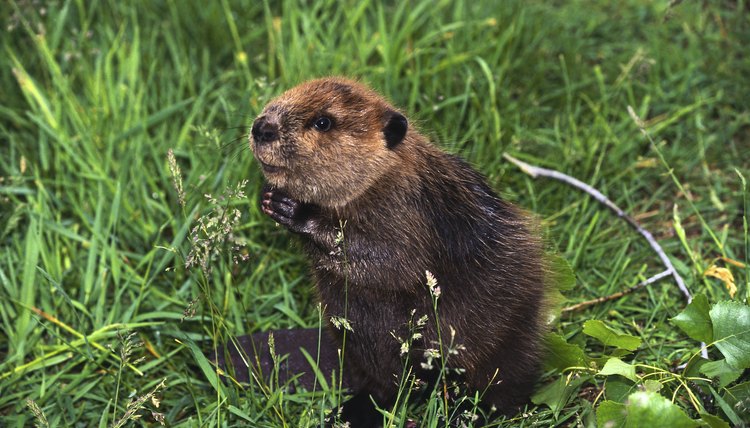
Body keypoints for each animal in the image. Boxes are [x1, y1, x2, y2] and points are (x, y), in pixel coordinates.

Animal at [248, 78, 548, 426]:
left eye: (323, 122)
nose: (262, 127)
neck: (382, 176)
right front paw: (269, 197)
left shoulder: (406, 209)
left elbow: (393, 261)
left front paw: (294, 210)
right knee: (380, 386)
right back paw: (347, 413)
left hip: (507, 342)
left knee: (502, 388)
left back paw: (464, 413)